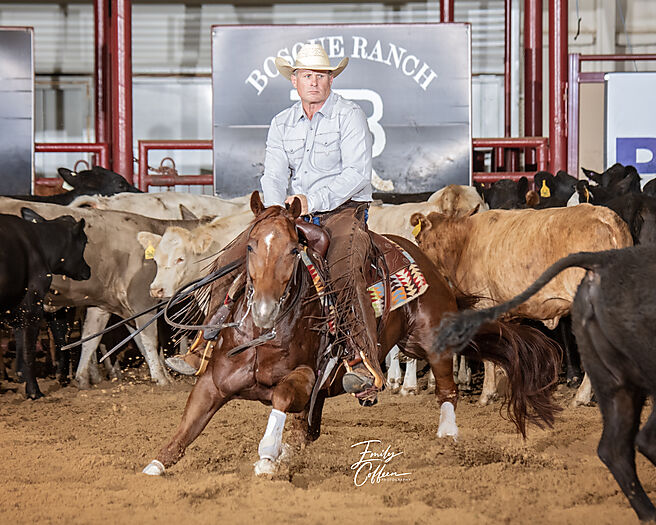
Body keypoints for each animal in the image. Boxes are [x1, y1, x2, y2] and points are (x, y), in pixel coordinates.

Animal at [142, 192, 562, 477]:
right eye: (249, 246)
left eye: (294, 250)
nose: (263, 308)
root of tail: (419, 255)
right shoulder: (213, 383)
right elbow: (186, 428)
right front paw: (154, 466)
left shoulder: (305, 379)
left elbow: (281, 397)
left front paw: (266, 457)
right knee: (309, 429)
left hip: (431, 337)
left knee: (446, 388)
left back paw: (447, 437)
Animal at [410, 203, 633, 405]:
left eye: (419, 240)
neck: (463, 242)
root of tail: (606, 217)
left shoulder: (483, 305)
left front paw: (487, 394)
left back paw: (582, 397)